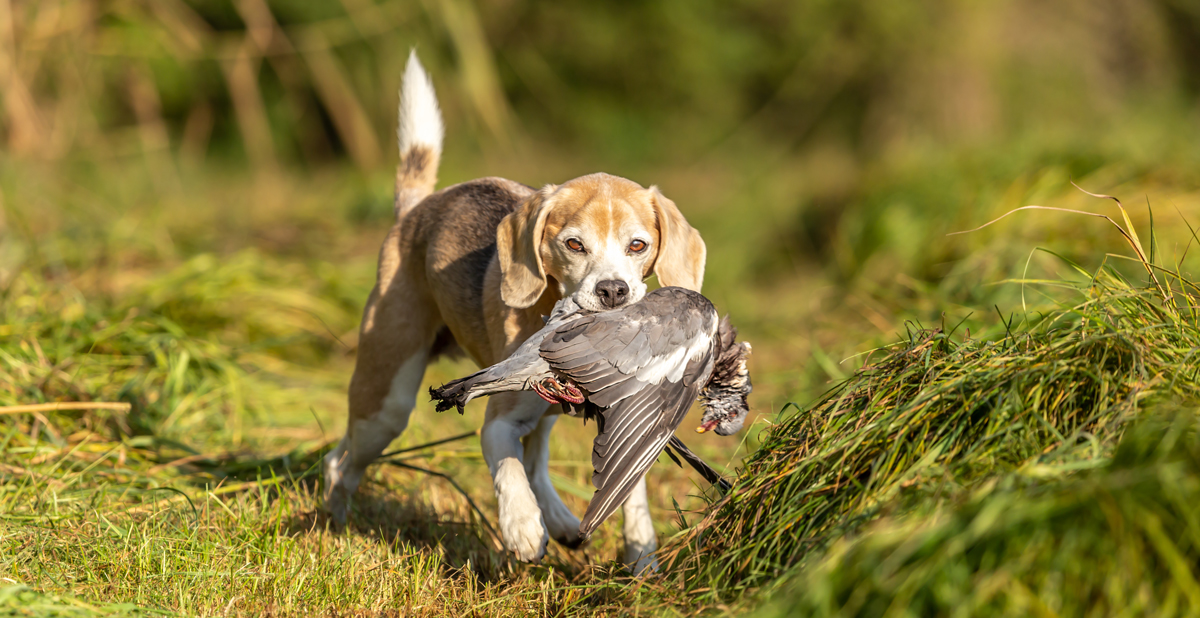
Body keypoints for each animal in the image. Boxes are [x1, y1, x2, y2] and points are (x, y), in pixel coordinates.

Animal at [324, 53, 705, 576]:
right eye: (573, 244)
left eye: (637, 245)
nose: (613, 291)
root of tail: (418, 209)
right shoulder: (497, 422)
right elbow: (508, 470)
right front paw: (522, 528)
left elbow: (628, 488)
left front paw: (642, 554)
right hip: (387, 402)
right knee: (343, 462)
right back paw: (333, 521)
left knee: (536, 458)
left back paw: (561, 521)